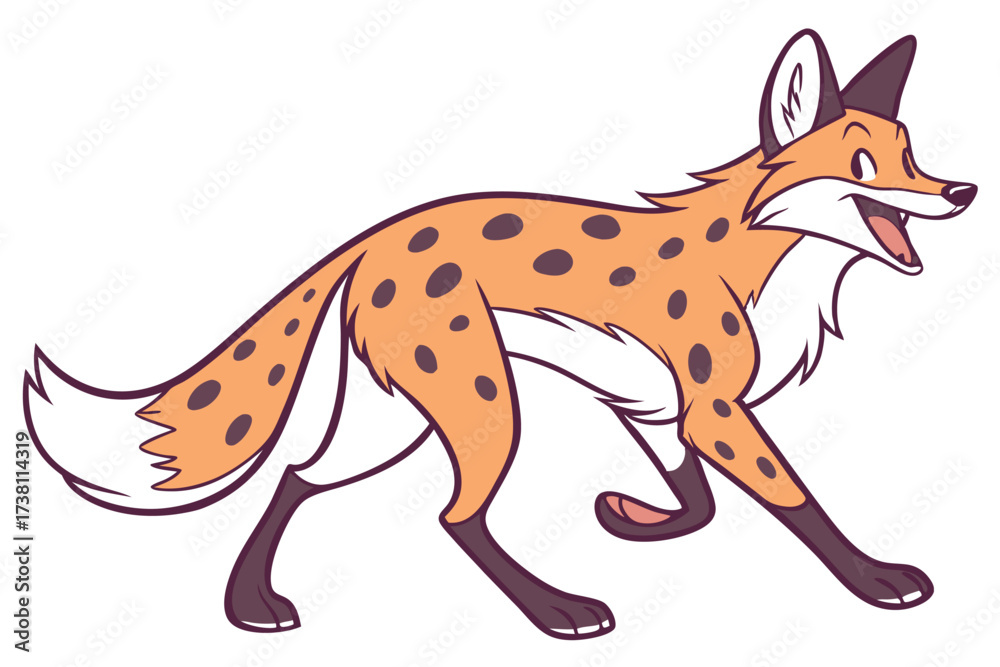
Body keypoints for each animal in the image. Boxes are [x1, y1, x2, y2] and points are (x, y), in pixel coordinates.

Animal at [24, 30, 977, 640]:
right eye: (862, 167)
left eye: (913, 155)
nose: (963, 191)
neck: (758, 267)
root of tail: (371, 239)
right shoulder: (714, 408)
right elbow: (799, 502)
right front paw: (877, 580)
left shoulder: (657, 410)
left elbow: (697, 502)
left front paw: (629, 516)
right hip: (483, 405)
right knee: (456, 517)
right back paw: (557, 610)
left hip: (394, 418)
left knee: (300, 475)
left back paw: (251, 603)